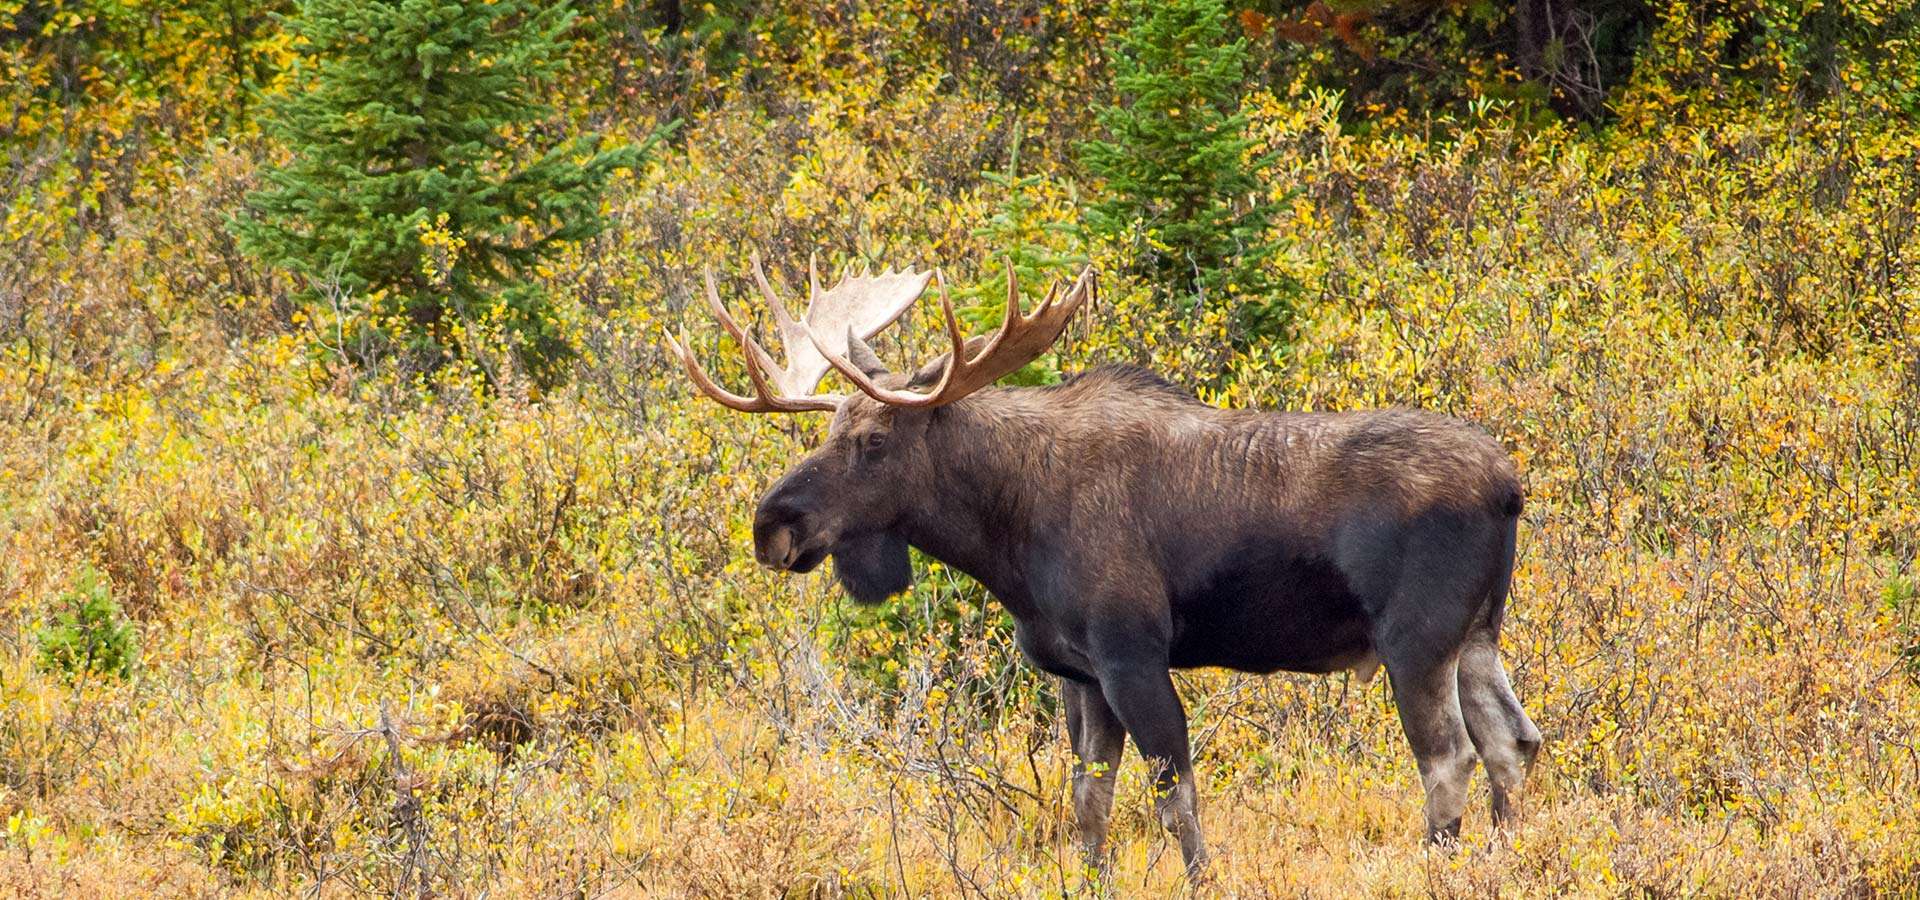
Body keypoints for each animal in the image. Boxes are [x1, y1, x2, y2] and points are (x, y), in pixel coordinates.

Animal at [668, 255, 1536, 875]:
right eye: (825, 432)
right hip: (1477, 636)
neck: (1007, 537)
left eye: (874, 441)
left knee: (1449, 758)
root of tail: (1510, 486)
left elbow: (1175, 799)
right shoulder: (1075, 672)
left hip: (1414, 639)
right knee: (1512, 744)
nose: (771, 526)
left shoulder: (1131, 653)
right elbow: (1090, 805)